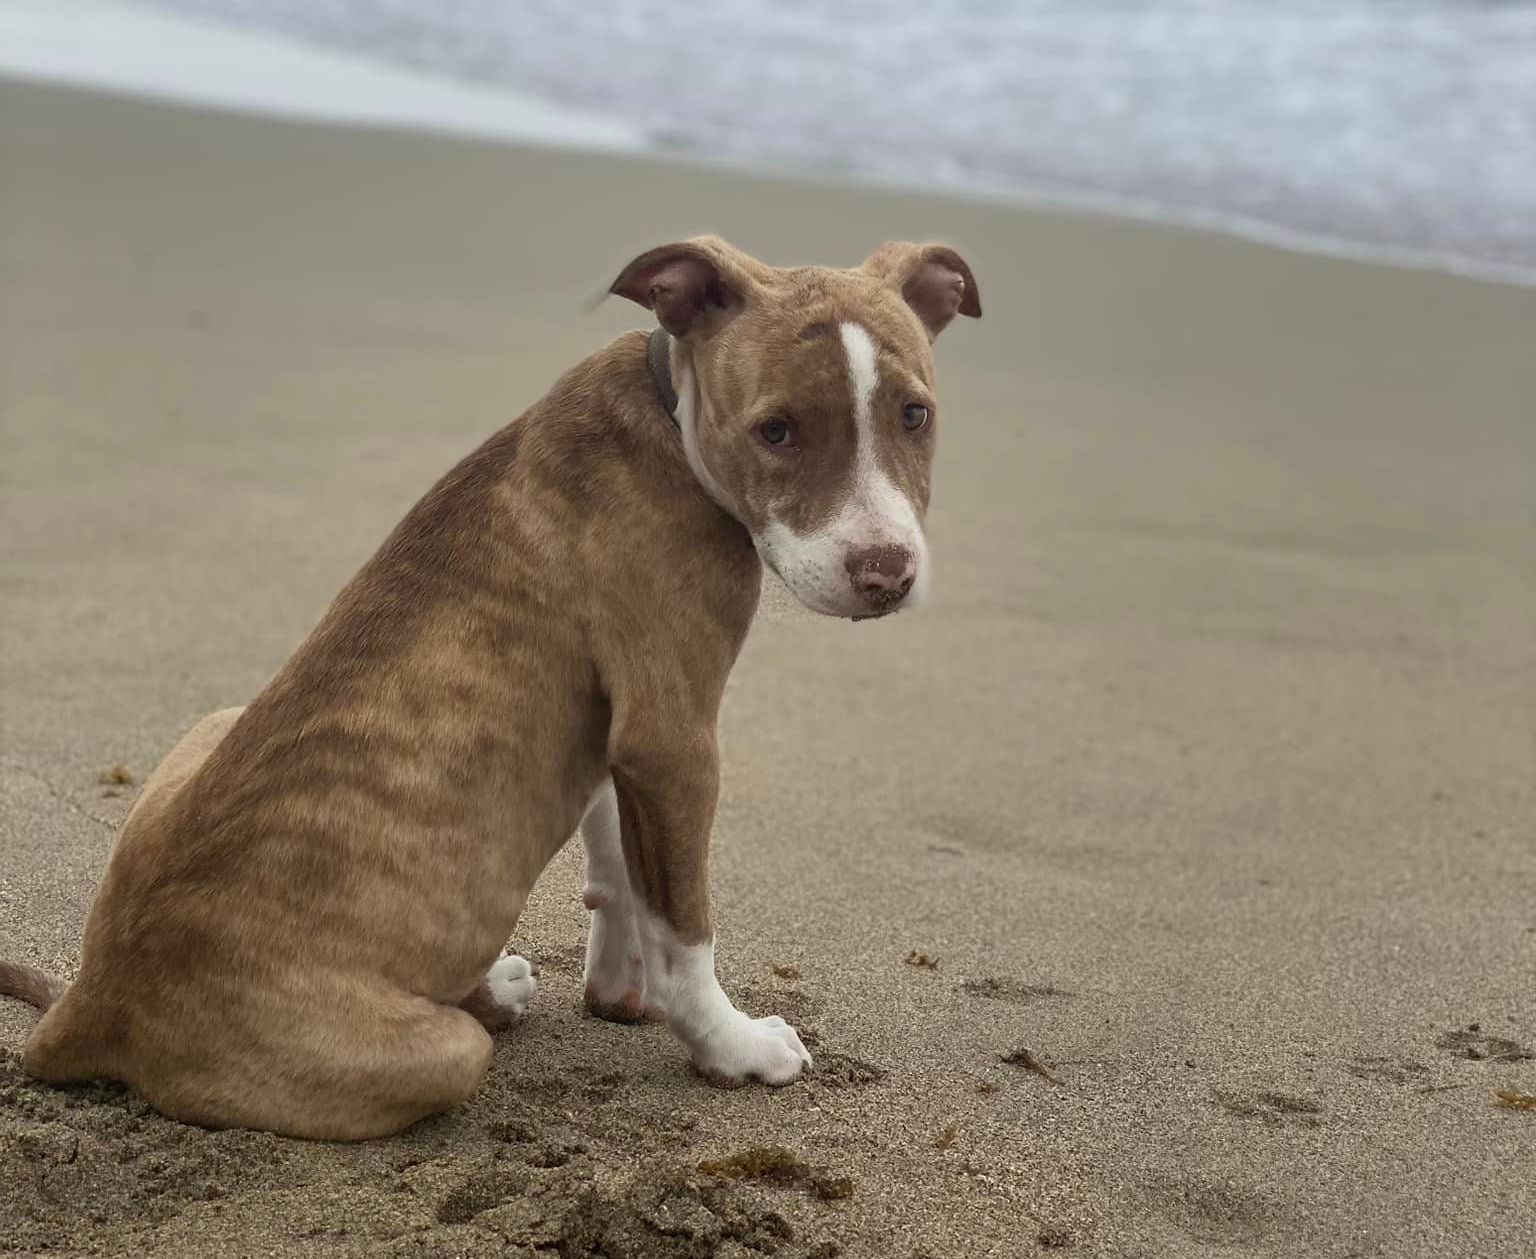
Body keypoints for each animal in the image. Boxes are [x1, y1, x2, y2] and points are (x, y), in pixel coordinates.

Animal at [0, 236, 983, 1142]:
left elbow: (619, 861)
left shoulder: (622, 738)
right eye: (775, 430)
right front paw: (729, 1046)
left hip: (215, 718)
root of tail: (88, 1002)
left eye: (915, 415)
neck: (669, 417)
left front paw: (618, 981)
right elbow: (684, 927)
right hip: (436, 1055)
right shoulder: (673, 735)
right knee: (454, 1039)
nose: (887, 574)